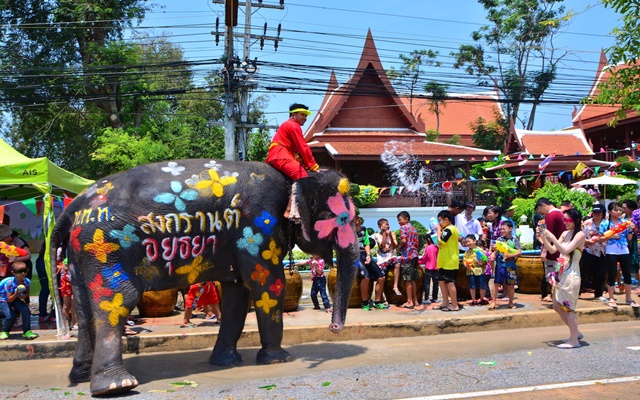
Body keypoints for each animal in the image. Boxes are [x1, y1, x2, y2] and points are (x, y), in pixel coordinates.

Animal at [50, 160, 360, 396]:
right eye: (346, 219)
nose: (333, 328)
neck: (293, 180)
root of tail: (74, 206)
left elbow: (237, 292)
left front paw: (226, 362)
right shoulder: (260, 226)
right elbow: (266, 285)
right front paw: (278, 359)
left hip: (79, 255)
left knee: (83, 306)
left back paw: (80, 375)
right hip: (103, 247)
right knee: (117, 300)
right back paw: (117, 386)